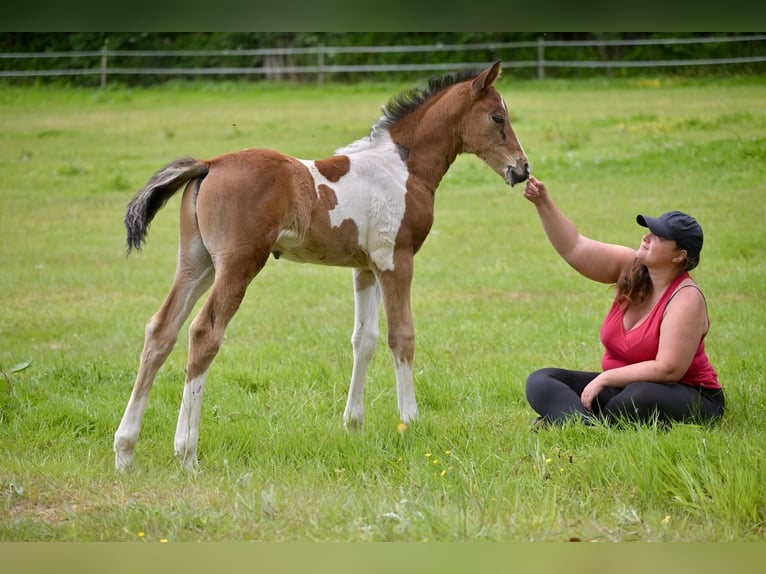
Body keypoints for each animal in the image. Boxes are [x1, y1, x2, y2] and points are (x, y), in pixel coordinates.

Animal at [113, 61, 529, 472]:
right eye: (497, 117)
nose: (521, 169)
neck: (403, 168)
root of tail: (209, 164)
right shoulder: (396, 260)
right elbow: (402, 336)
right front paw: (410, 421)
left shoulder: (366, 268)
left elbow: (365, 339)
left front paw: (354, 425)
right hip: (238, 264)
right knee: (203, 333)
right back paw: (187, 453)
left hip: (196, 265)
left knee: (161, 330)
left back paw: (125, 450)